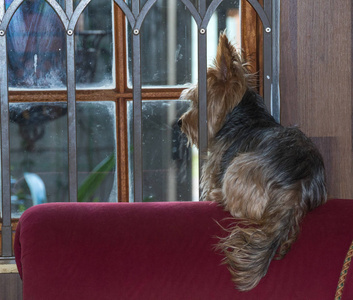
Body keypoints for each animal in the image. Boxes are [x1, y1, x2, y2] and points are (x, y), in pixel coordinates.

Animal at [177, 34, 326, 292]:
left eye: (196, 101)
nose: (180, 123)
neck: (242, 115)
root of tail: (297, 185)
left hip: (237, 168)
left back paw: (220, 197)